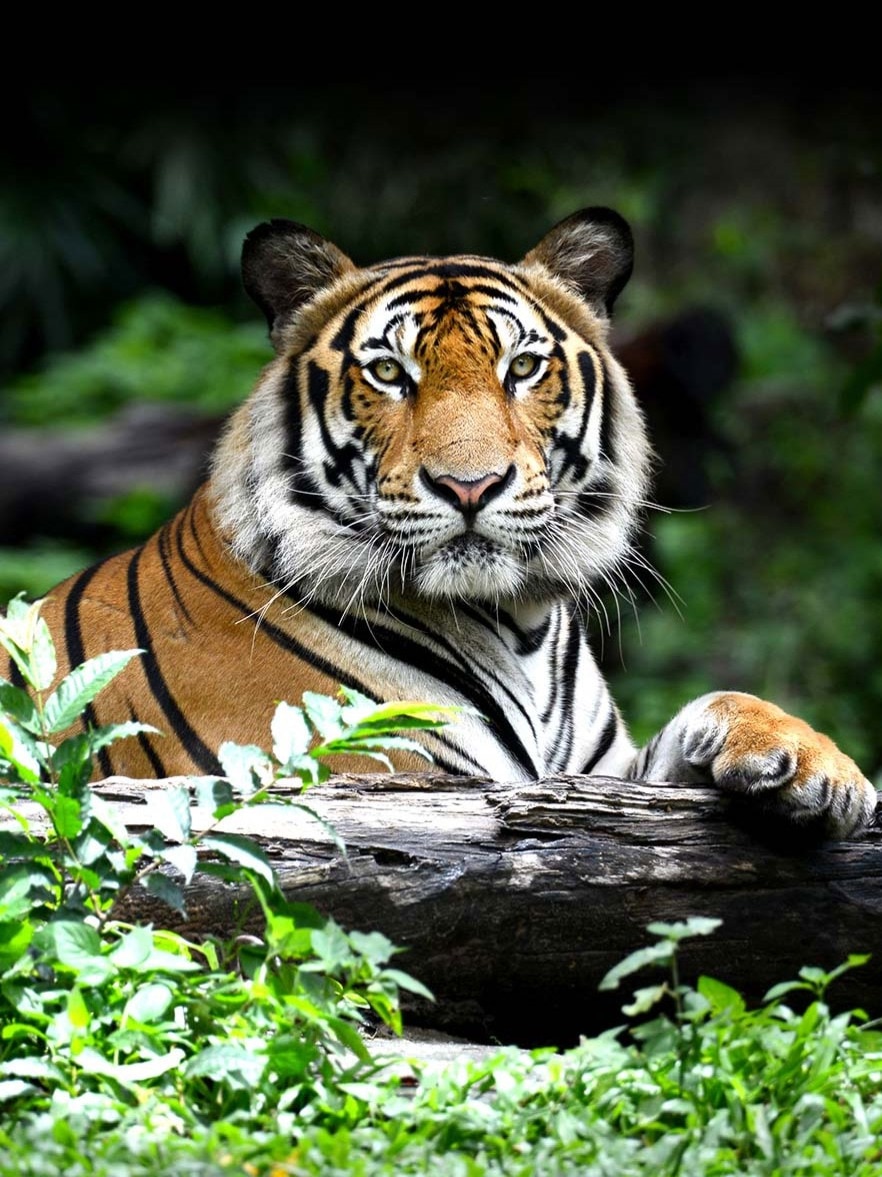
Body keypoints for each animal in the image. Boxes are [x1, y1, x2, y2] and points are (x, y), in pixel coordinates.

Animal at [3, 207, 876, 839]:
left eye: (522, 367)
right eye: (390, 373)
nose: (470, 485)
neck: (519, 624)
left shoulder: (598, 776)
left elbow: (715, 703)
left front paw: (815, 765)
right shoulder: (379, 777)